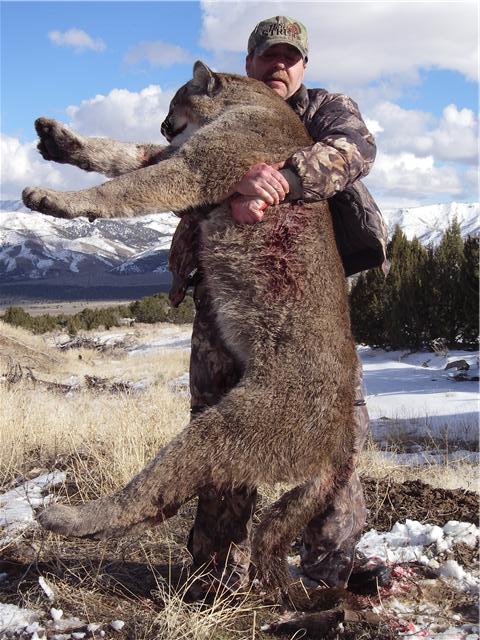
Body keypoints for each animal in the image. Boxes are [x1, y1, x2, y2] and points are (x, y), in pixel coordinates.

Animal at [23, 61, 357, 606]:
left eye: (176, 101)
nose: (162, 124)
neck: (256, 101)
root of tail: (338, 442)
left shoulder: (198, 166)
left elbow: (126, 186)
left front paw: (55, 198)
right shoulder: (178, 153)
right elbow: (123, 153)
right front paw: (61, 141)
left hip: (231, 427)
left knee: (155, 488)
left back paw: (69, 518)